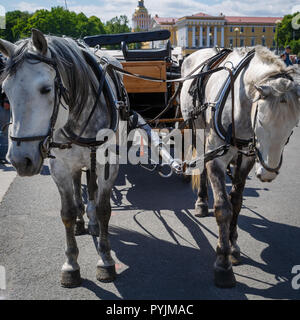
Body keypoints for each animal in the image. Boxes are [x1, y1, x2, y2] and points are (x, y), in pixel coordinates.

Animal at [0, 29, 124, 288]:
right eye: (5, 91)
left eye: (46, 89)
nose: (20, 160)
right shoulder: (60, 167)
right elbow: (66, 212)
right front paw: (71, 264)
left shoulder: (108, 163)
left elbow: (104, 209)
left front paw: (105, 260)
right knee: (79, 188)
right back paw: (82, 221)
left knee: (92, 192)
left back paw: (92, 222)